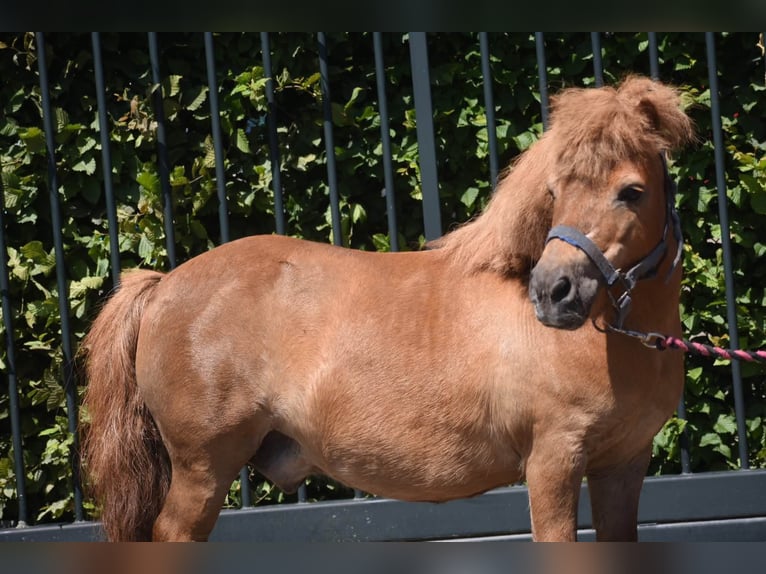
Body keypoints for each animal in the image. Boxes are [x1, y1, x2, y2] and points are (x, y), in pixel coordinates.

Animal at [81, 75, 694, 542]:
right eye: (555, 189)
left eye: (632, 192)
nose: (552, 291)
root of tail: (164, 284)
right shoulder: (553, 461)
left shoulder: (623, 465)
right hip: (201, 469)